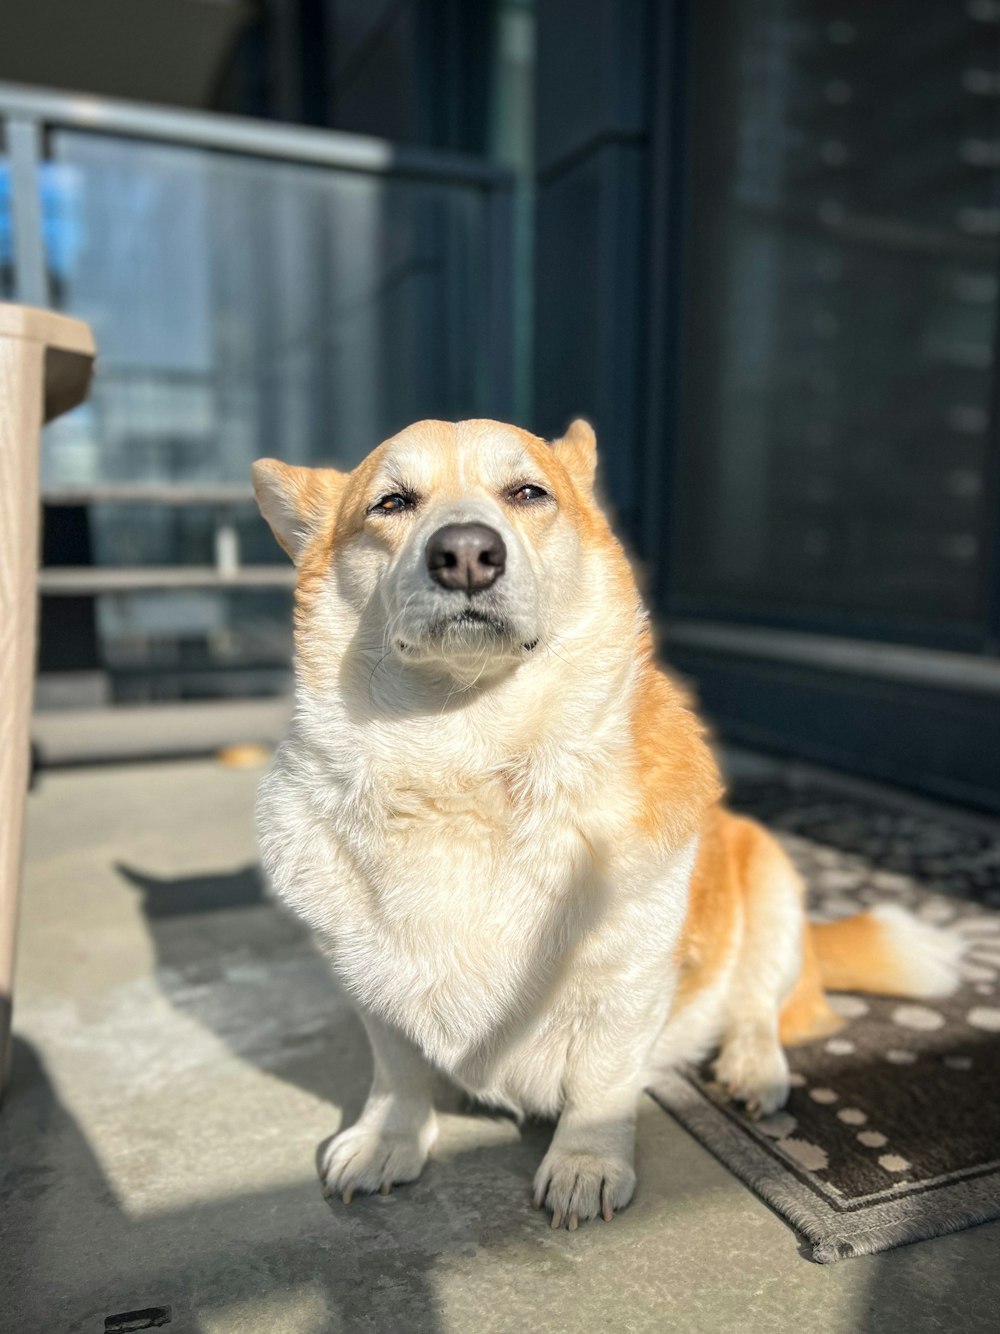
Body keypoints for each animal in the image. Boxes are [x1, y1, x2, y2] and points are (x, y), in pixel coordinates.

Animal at [252, 416, 965, 1227]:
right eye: (392, 503)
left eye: (528, 493)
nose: (465, 553)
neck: (468, 754)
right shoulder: (371, 982)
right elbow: (397, 1070)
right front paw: (385, 1143)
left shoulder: (629, 978)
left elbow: (599, 1080)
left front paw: (585, 1166)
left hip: (771, 886)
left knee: (759, 1005)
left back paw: (753, 1069)